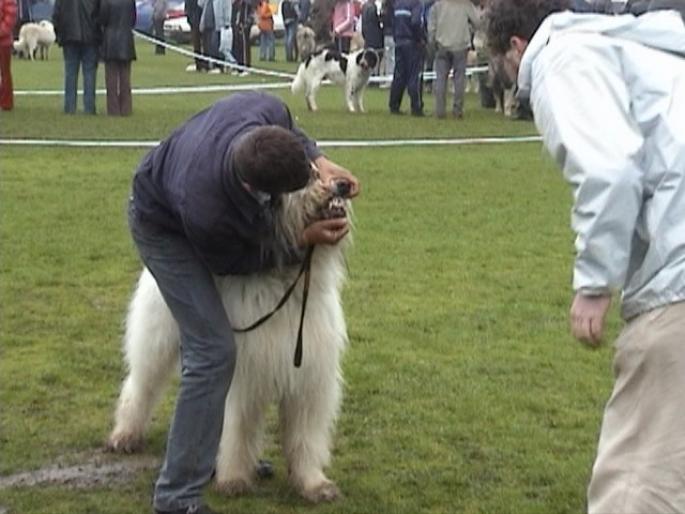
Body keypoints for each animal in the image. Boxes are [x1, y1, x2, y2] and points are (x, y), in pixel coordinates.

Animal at [109, 176, 352, 500]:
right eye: (309, 176)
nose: (343, 184)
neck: (288, 283)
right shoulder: (246, 377)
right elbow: (239, 428)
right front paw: (233, 479)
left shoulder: (309, 376)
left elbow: (305, 435)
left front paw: (313, 483)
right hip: (157, 339)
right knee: (140, 386)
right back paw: (125, 435)